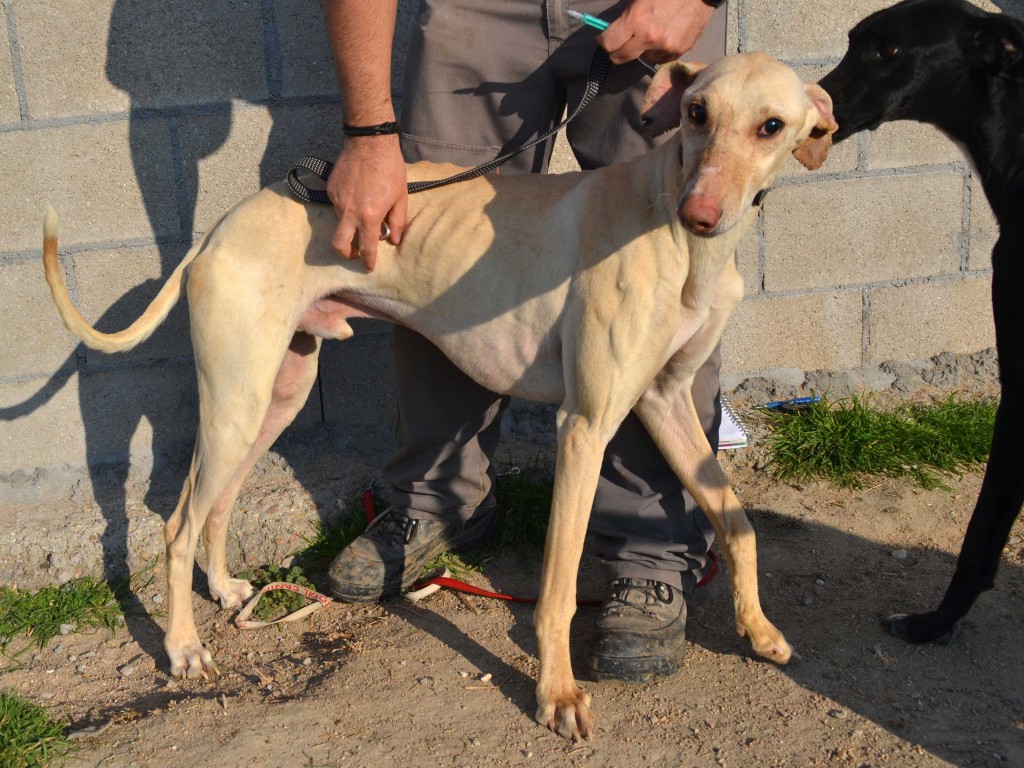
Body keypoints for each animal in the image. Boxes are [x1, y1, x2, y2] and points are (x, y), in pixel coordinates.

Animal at [44, 52, 835, 741]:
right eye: (697, 112)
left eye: (771, 126)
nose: (702, 211)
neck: (675, 230)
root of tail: (218, 227)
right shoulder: (584, 425)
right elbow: (555, 589)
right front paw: (556, 694)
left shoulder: (666, 403)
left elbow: (738, 522)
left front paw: (759, 629)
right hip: (238, 400)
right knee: (178, 521)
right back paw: (182, 646)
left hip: (275, 395)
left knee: (216, 502)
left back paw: (225, 588)